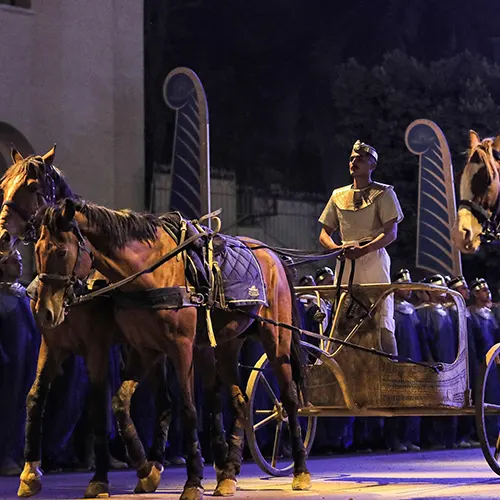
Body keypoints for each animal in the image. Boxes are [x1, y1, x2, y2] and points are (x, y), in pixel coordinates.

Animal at [0, 150, 170, 498]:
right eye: (2, 185)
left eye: (31, 186)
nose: (3, 235)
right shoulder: (53, 345)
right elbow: (35, 397)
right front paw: (30, 472)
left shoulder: (96, 349)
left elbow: (97, 407)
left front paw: (100, 478)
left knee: (163, 399)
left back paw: (154, 462)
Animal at [34, 198, 308, 500]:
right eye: (36, 250)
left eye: (61, 251)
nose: (44, 311)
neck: (151, 271)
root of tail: (274, 257)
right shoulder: (145, 349)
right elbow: (120, 402)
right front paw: (148, 471)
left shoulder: (180, 348)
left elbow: (188, 409)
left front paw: (193, 481)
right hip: (227, 345)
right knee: (240, 401)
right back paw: (227, 474)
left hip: (277, 338)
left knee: (289, 398)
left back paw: (300, 471)